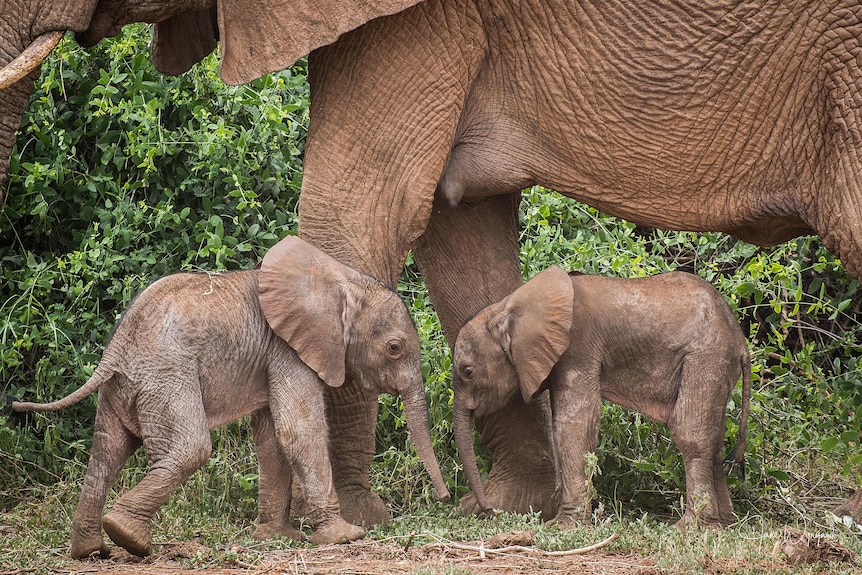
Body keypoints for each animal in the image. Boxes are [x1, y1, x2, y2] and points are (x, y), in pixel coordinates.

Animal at [11, 234, 452, 560]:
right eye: (394, 348)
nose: (445, 497)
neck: (340, 280)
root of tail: (114, 351)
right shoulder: (288, 349)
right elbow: (298, 429)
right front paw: (345, 536)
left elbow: (272, 437)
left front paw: (278, 537)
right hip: (166, 376)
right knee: (189, 448)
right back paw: (129, 538)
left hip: (125, 386)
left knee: (106, 452)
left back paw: (91, 550)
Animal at [456, 266, 752, 528]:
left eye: (467, 372)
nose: (488, 511)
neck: (508, 306)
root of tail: (740, 340)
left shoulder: (578, 346)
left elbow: (574, 427)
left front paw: (563, 526)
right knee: (714, 438)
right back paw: (722, 525)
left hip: (706, 356)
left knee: (690, 433)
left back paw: (690, 527)